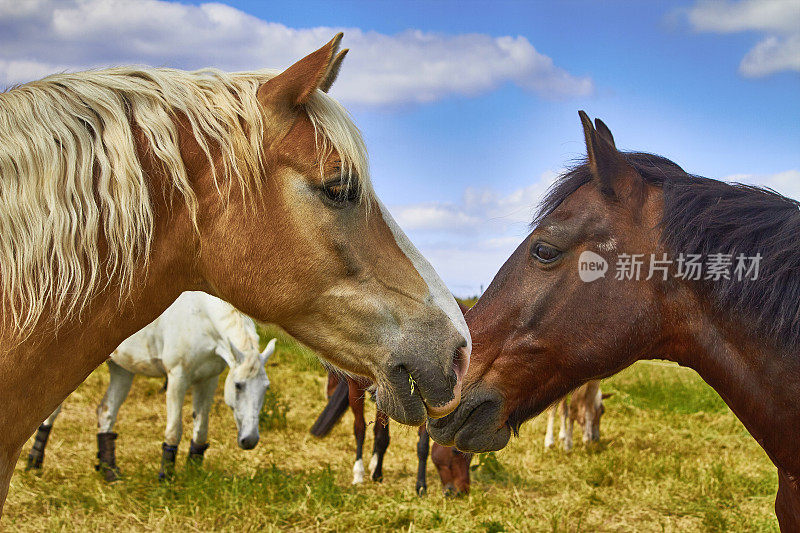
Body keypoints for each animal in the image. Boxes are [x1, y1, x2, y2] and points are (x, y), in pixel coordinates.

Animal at [25, 294, 276, 480]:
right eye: (239, 385)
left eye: (265, 387)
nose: (250, 440)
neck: (199, 316)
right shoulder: (177, 377)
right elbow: (174, 429)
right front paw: (166, 478)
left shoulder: (208, 379)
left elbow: (201, 428)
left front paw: (193, 474)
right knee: (51, 412)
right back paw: (34, 464)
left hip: (122, 370)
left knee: (106, 411)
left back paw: (109, 472)